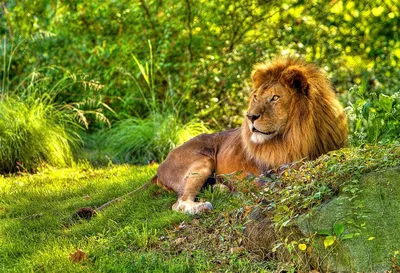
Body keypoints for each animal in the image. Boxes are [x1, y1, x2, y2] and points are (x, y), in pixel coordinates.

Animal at [152, 57, 346, 214]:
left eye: (275, 98)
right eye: (255, 97)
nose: (250, 116)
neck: (297, 137)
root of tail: (161, 165)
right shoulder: (267, 176)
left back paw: (220, 189)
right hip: (201, 161)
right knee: (179, 203)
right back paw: (201, 206)